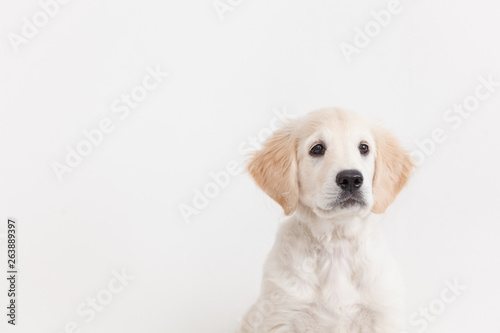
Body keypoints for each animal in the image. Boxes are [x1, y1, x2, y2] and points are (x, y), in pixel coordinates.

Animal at [238, 107, 414, 330]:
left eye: (363, 147)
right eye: (317, 148)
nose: (351, 179)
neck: (337, 243)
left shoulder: (384, 314)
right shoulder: (282, 314)